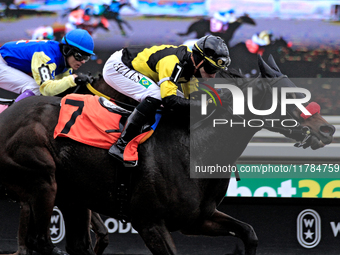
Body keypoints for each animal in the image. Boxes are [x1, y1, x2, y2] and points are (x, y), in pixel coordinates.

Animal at [0, 56, 334, 255]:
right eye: (289, 97)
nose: (328, 129)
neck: (194, 149)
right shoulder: (149, 222)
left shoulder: (197, 219)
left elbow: (249, 233)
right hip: (42, 181)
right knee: (41, 241)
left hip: (73, 198)